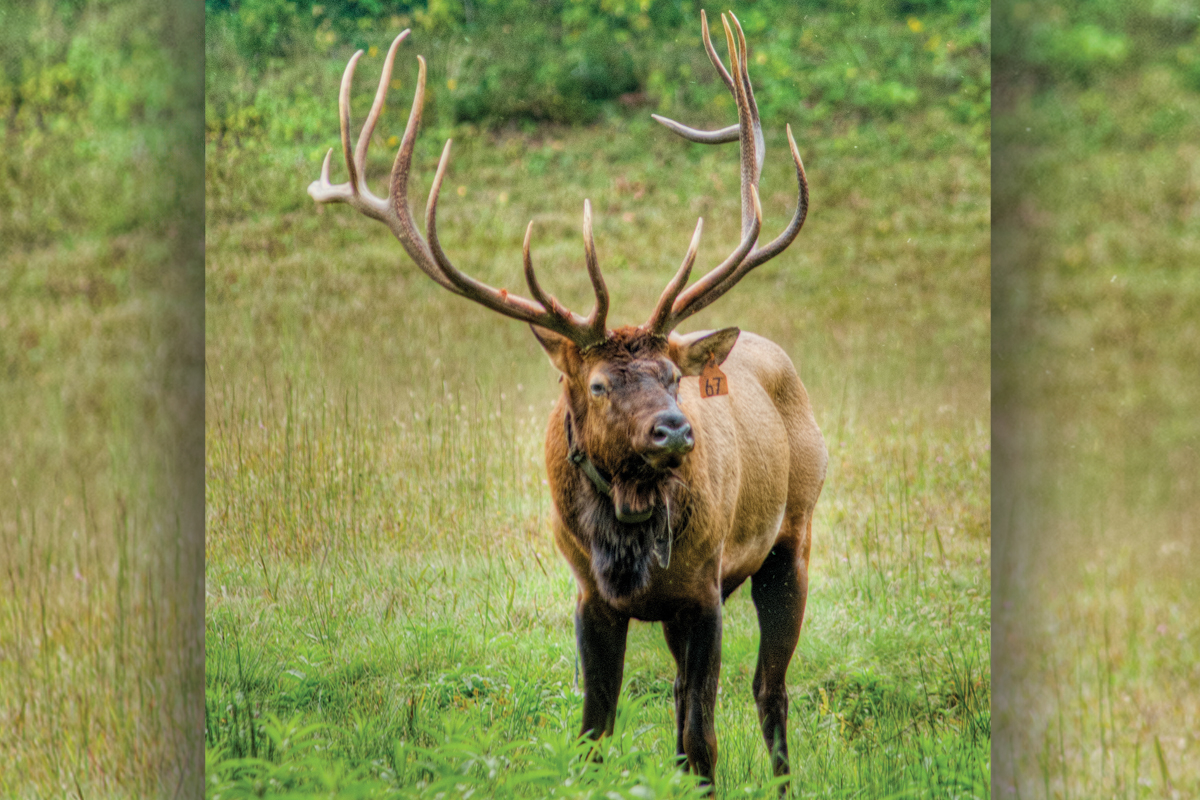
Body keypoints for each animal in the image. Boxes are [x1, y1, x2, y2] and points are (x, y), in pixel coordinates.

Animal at [308, 11, 827, 792]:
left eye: (671, 377)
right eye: (599, 384)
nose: (675, 432)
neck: (630, 543)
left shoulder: (703, 588)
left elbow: (703, 741)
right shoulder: (589, 594)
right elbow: (595, 733)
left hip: (792, 534)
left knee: (770, 690)